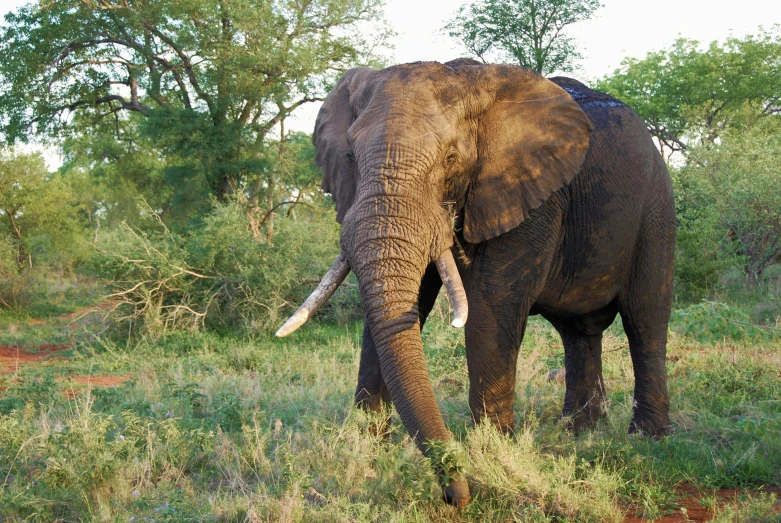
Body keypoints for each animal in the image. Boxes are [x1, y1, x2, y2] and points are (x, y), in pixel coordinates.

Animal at [276, 57, 676, 508]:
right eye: (349, 156)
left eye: (451, 158)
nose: (455, 494)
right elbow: (401, 311)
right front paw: (368, 456)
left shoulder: (528, 194)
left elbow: (488, 310)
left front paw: (492, 459)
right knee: (578, 332)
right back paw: (579, 434)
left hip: (656, 208)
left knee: (645, 319)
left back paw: (648, 440)